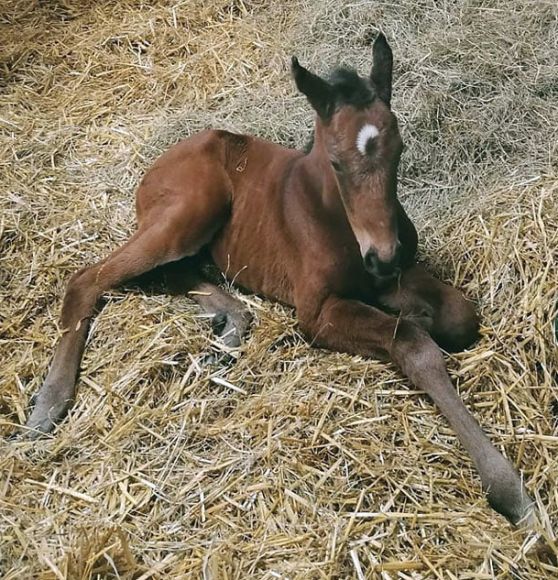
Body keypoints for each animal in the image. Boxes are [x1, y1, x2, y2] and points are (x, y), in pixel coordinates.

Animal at [25, 35, 532, 524]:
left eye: (400, 150)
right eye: (337, 162)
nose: (383, 255)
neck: (334, 218)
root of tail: (158, 162)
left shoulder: (391, 276)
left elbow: (459, 316)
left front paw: (424, 314)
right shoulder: (317, 312)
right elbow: (412, 345)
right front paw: (510, 490)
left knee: (172, 272)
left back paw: (229, 329)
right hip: (187, 212)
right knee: (89, 278)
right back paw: (48, 405)